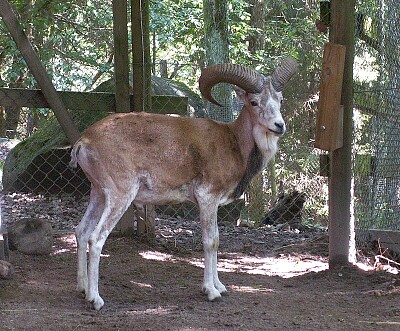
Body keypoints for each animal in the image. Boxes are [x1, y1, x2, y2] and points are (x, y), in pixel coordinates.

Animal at [70, 57, 298, 312]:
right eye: (254, 101)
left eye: (280, 99)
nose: (279, 125)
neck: (234, 143)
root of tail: (84, 142)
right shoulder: (207, 199)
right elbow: (210, 241)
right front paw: (211, 292)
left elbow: (217, 240)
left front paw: (220, 287)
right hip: (119, 196)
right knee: (95, 239)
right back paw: (95, 299)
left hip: (98, 194)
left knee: (81, 232)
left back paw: (82, 288)